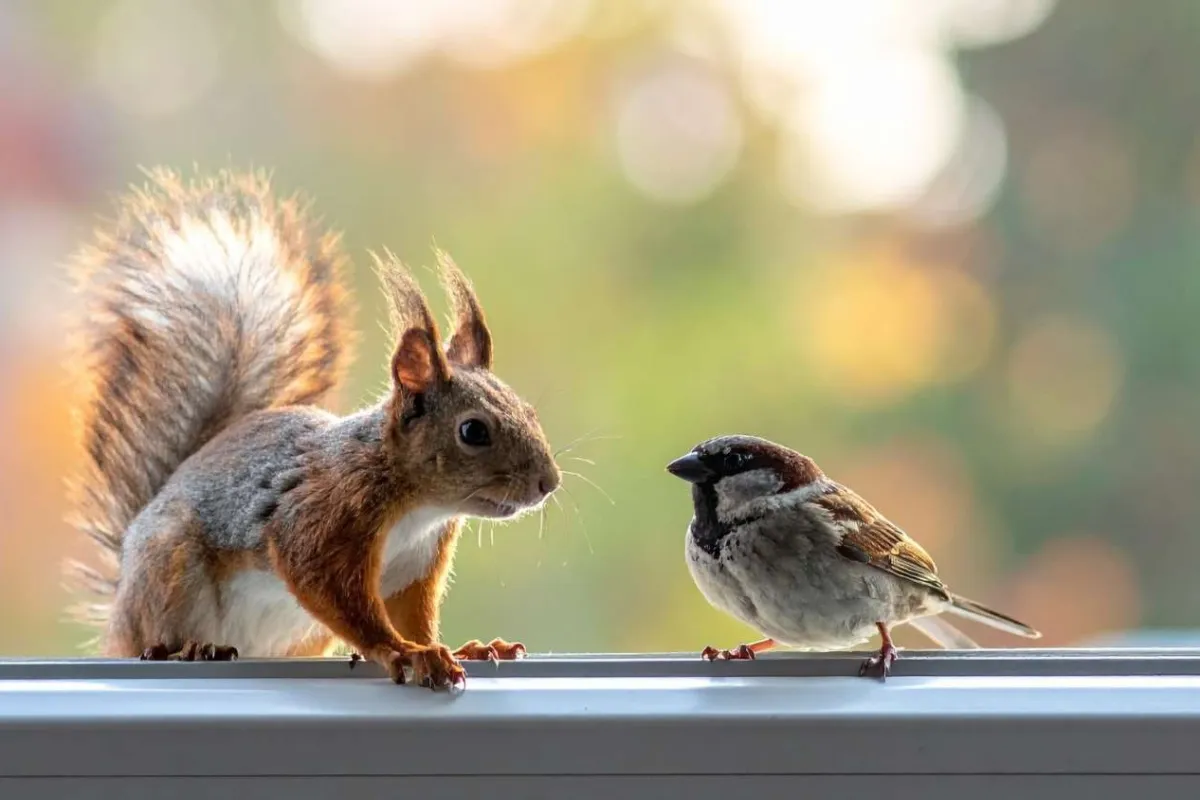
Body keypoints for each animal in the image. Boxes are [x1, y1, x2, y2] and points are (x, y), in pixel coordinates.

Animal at [64, 168, 560, 689]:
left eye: (530, 412)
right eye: (473, 432)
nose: (548, 483)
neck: (418, 506)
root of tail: (121, 599)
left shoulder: (415, 565)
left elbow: (414, 616)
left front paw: (462, 648)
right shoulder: (322, 518)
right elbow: (332, 591)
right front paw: (400, 652)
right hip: (167, 567)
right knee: (149, 638)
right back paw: (187, 648)